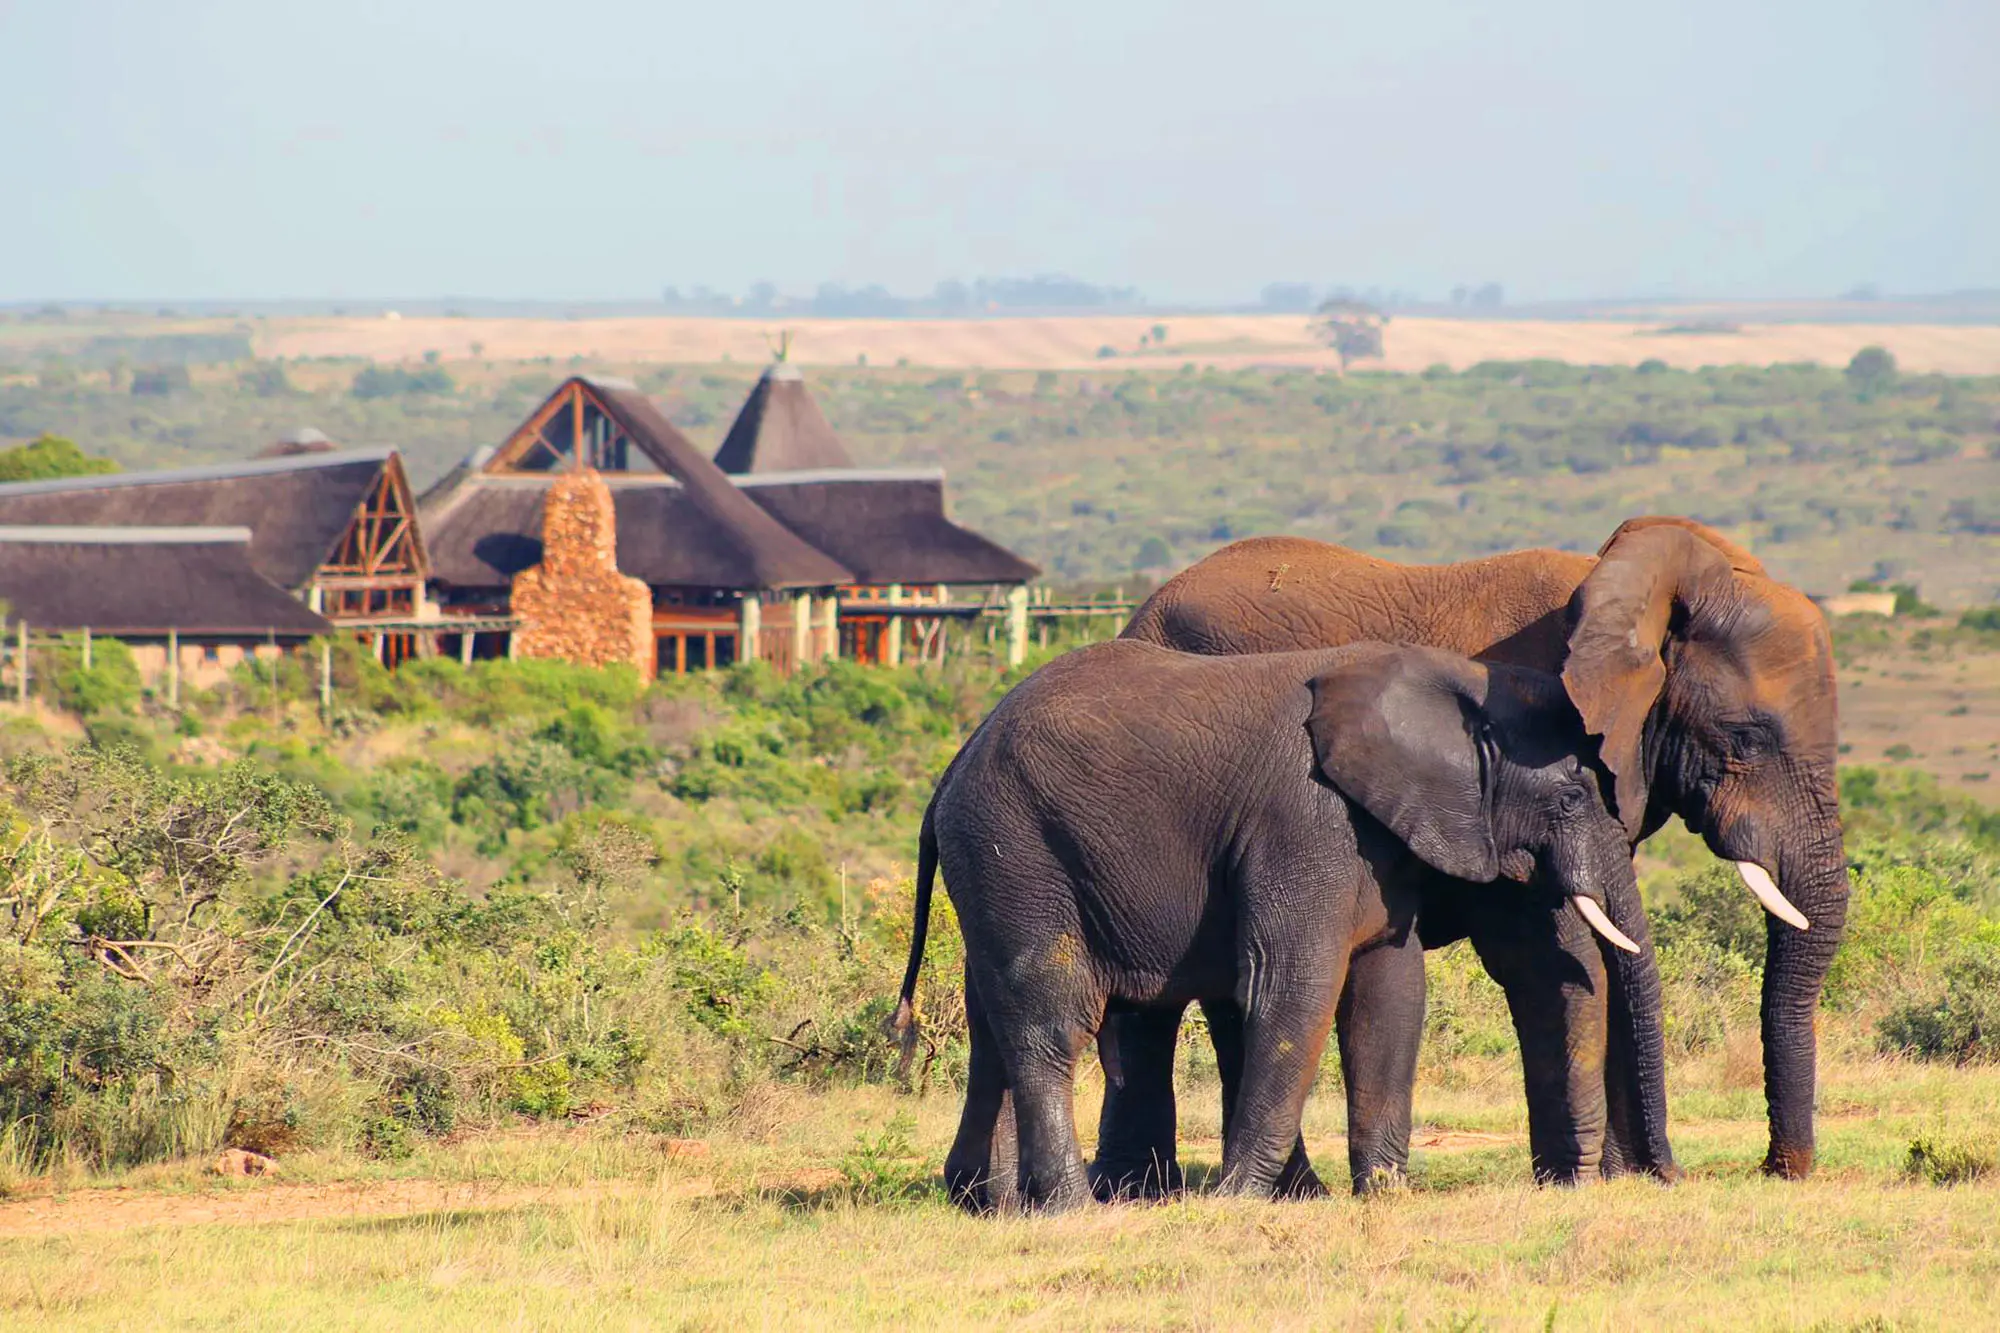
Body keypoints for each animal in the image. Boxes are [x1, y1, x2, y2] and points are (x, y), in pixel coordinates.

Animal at [891, 639, 1645, 1211]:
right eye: (1572, 797)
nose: (1579, 1183)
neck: (1440, 675)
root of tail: (950, 772)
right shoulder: (1305, 820)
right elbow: (1293, 989)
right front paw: (1238, 1199)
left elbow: (1390, 995)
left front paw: (1385, 1195)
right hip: (1017, 846)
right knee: (1049, 1018)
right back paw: (1072, 1209)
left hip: (998, 866)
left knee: (990, 1021)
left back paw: (988, 1204)